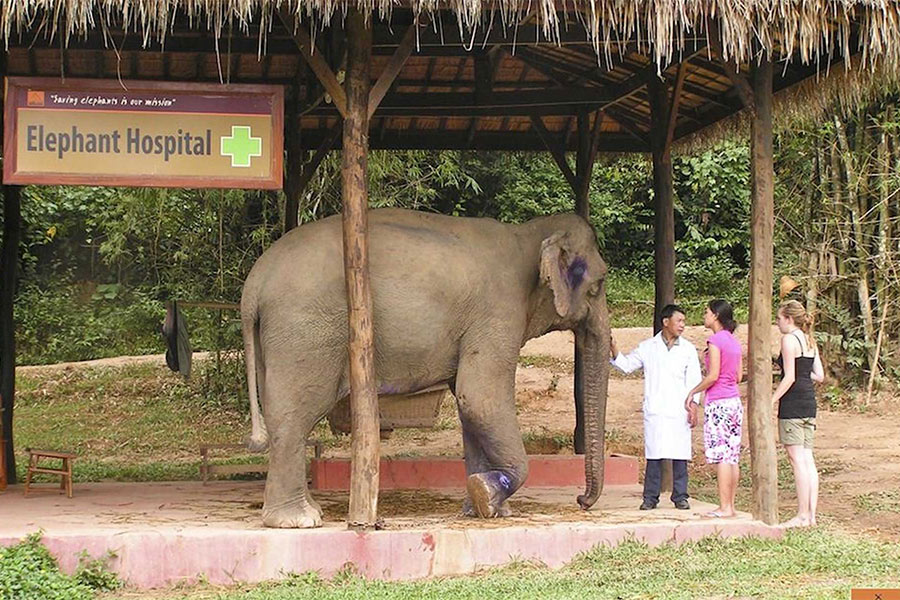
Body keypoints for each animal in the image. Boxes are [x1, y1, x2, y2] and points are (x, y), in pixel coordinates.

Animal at [241, 209, 612, 528]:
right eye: (597, 285)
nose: (581, 500)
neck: (528, 232)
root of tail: (253, 285)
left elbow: (468, 406)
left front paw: (485, 509)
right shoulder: (497, 313)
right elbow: (480, 400)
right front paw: (487, 496)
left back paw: (307, 511)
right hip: (304, 331)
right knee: (295, 415)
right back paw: (299, 520)